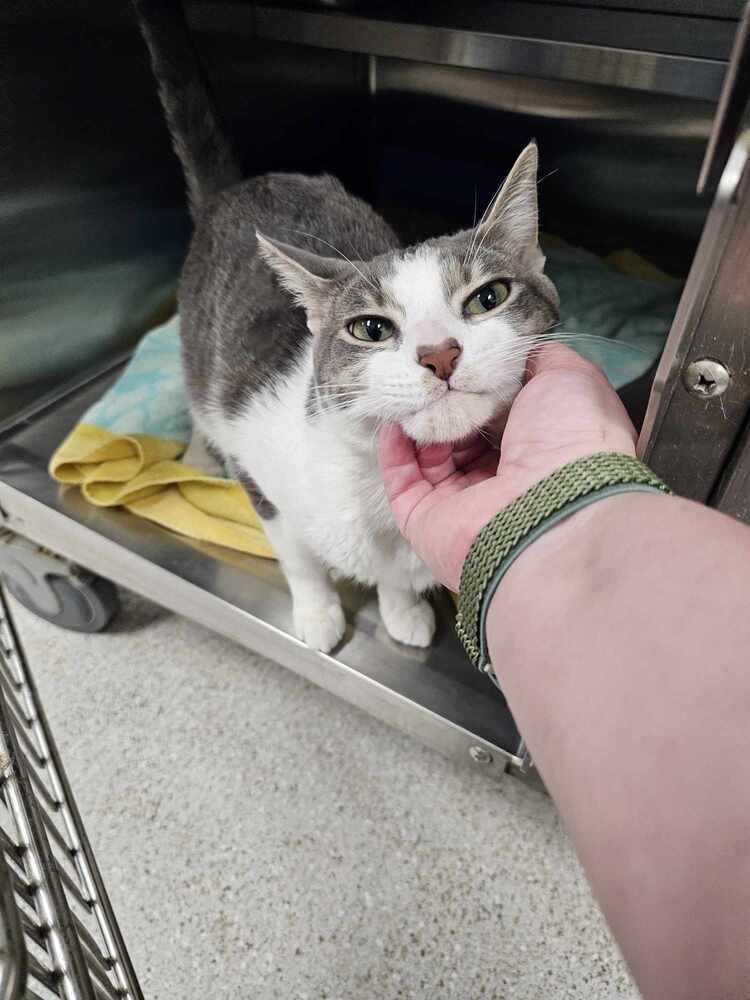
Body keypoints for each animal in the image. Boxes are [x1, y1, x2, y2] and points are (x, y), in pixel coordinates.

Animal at [135, 0, 560, 652]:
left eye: (489, 297)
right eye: (370, 329)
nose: (440, 353)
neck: (371, 490)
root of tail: (241, 184)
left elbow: (397, 576)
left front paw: (402, 609)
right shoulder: (261, 477)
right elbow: (298, 558)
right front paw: (317, 612)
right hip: (204, 359)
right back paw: (199, 455)